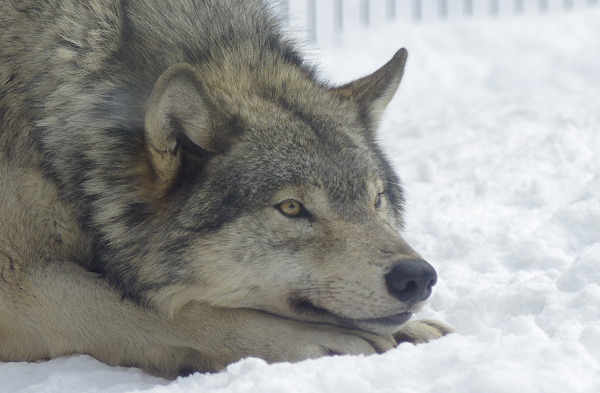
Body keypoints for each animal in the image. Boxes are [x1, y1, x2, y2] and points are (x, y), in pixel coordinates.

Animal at [0, 0, 450, 380]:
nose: (417, 277)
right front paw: (325, 342)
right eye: (291, 207)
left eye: (376, 201)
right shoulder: (18, 283)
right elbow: (160, 312)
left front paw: (414, 329)